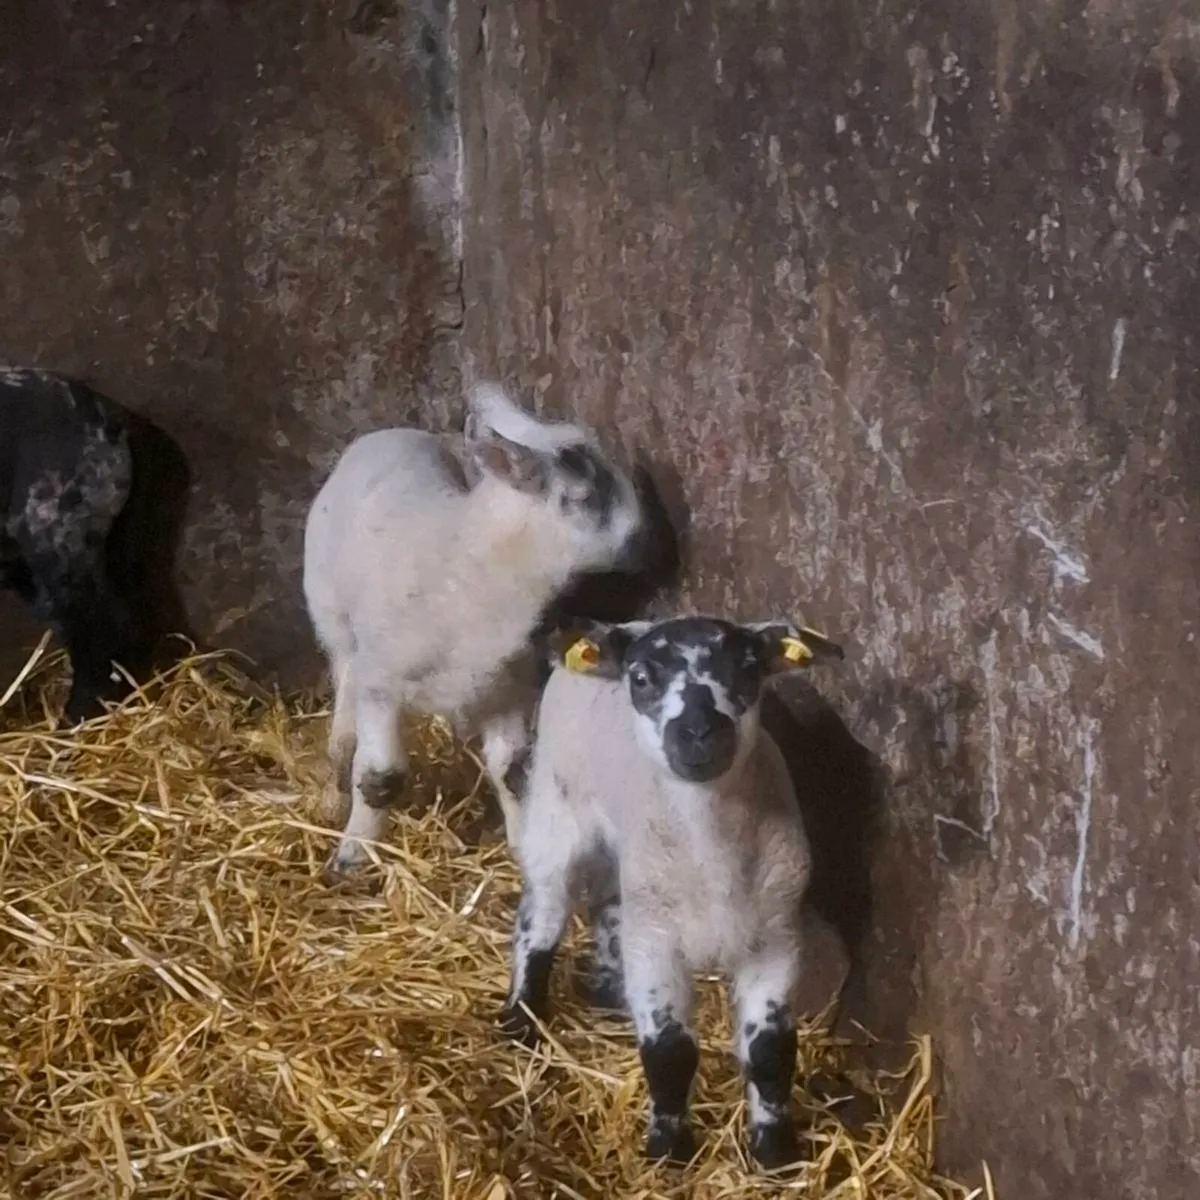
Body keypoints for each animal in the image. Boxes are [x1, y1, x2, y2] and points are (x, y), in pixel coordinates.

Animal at [303, 380, 648, 874]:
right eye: (584, 497)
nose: (644, 541)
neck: (469, 559)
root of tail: (389, 434)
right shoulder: (382, 682)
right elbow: (380, 777)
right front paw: (354, 856)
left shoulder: (508, 687)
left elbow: (514, 771)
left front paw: (523, 848)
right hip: (333, 620)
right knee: (344, 708)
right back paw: (334, 790)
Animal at [499, 613, 846, 1170]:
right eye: (641, 678)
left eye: (748, 670)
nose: (701, 732)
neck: (713, 862)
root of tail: (612, 626)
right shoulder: (657, 947)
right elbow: (670, 1052)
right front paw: (668, 1148)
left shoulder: (775, 941)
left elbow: (770, 1051)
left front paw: (774, 1150)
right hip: (557, 806)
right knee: (542, 915)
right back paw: (523, 1016)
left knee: (608, 903)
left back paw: (606, 989)